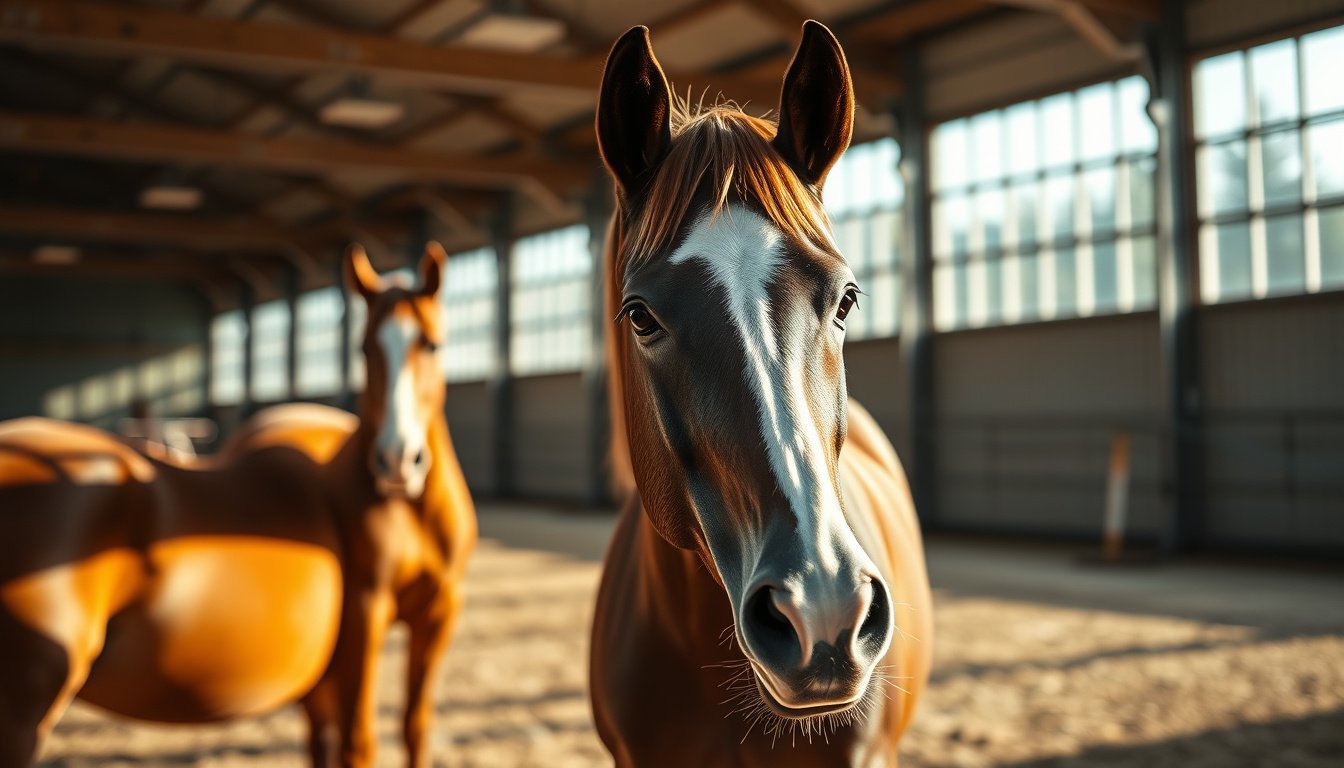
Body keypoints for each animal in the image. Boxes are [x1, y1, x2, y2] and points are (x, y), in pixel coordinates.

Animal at [220, 242, 477, 768]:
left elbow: (415, 726)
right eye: (364, 348)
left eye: (432, 345)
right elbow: (359, 740)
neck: (411, 510)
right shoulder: (363, 612)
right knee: (322, 729)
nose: (397, 459)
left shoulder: (440, 611)